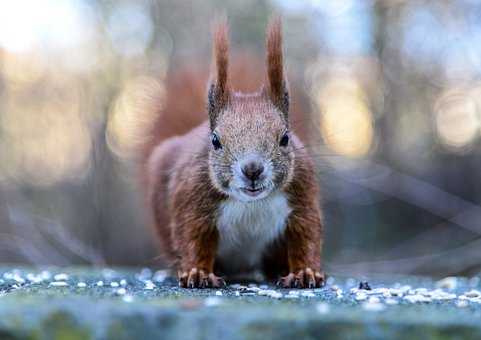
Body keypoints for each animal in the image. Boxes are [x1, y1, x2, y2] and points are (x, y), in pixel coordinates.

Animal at [141, 18, 324, 288]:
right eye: (215, 141)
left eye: (285, 138)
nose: (252, 169)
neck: (251, 203)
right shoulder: (192, 198)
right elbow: (192, 237)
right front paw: (198, 273)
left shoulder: (303, 194)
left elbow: (306, 235)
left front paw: (304, 272)